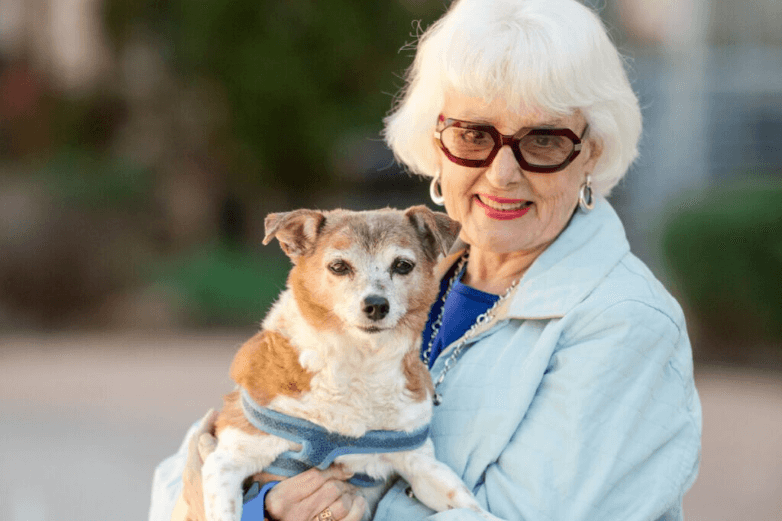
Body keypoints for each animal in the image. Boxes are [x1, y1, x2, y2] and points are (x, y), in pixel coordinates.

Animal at [199, 206, 500, 520]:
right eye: (339, 266)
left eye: (403, 265)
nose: (376, 305)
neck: (360, 364)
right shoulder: (227, 461)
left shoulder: (422, 465)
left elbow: (470, 506)